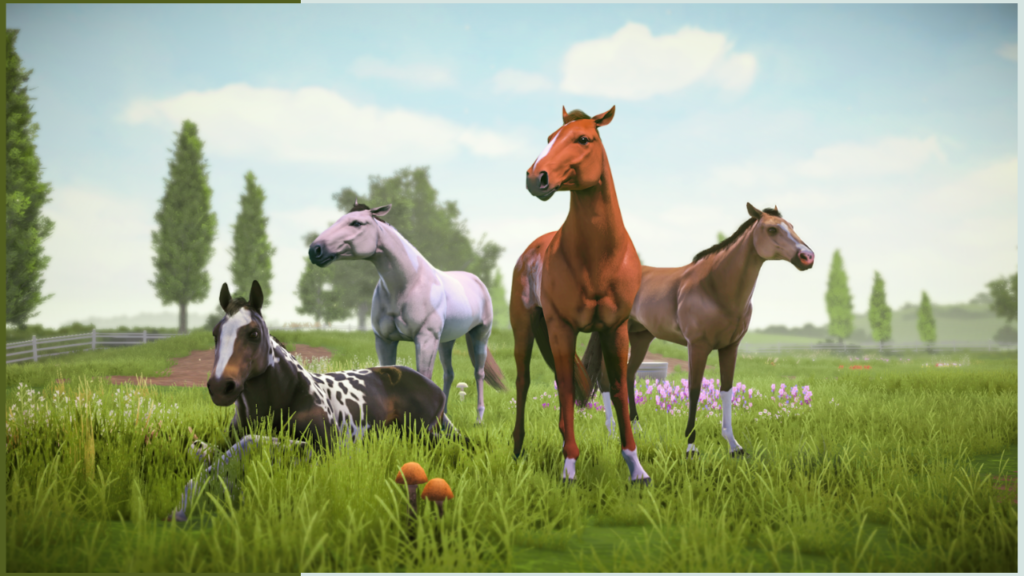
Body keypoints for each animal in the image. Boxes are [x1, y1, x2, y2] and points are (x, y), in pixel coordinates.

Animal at [308, 203, 506, 424]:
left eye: (357, 223)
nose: (315, 250)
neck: (408, 284)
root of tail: (476, 281)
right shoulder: (384, 340)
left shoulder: (426, 339)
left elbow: (425, 377)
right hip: (446, 340)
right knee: (449, 373)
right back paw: (445, 413)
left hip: (480, 334)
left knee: (479, 373)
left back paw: (479, 418)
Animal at [512, 105, 649, 484]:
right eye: (549, 138)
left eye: (584, 139)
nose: (535, 178)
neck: (598, 257)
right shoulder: (562, 328)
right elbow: (566, 387)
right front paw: (569, 467)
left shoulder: (615, 329)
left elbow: (617, 388)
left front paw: (635, 466)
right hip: (524, 328)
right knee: (524, 381)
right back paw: (517, 451)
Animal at [582, 203, 815, 457]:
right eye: (772, 229)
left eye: (791, 226)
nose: (807, 257)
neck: (714, 288)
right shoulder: (697, 346)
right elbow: (694, 390)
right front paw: (691, 446)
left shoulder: (730, 347)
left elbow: (726, 390)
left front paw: (734, 446)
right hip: (617, 336)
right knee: (607, 380)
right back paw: (613, 433)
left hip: (641, 337)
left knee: (629, 375)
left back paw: (637, 428)